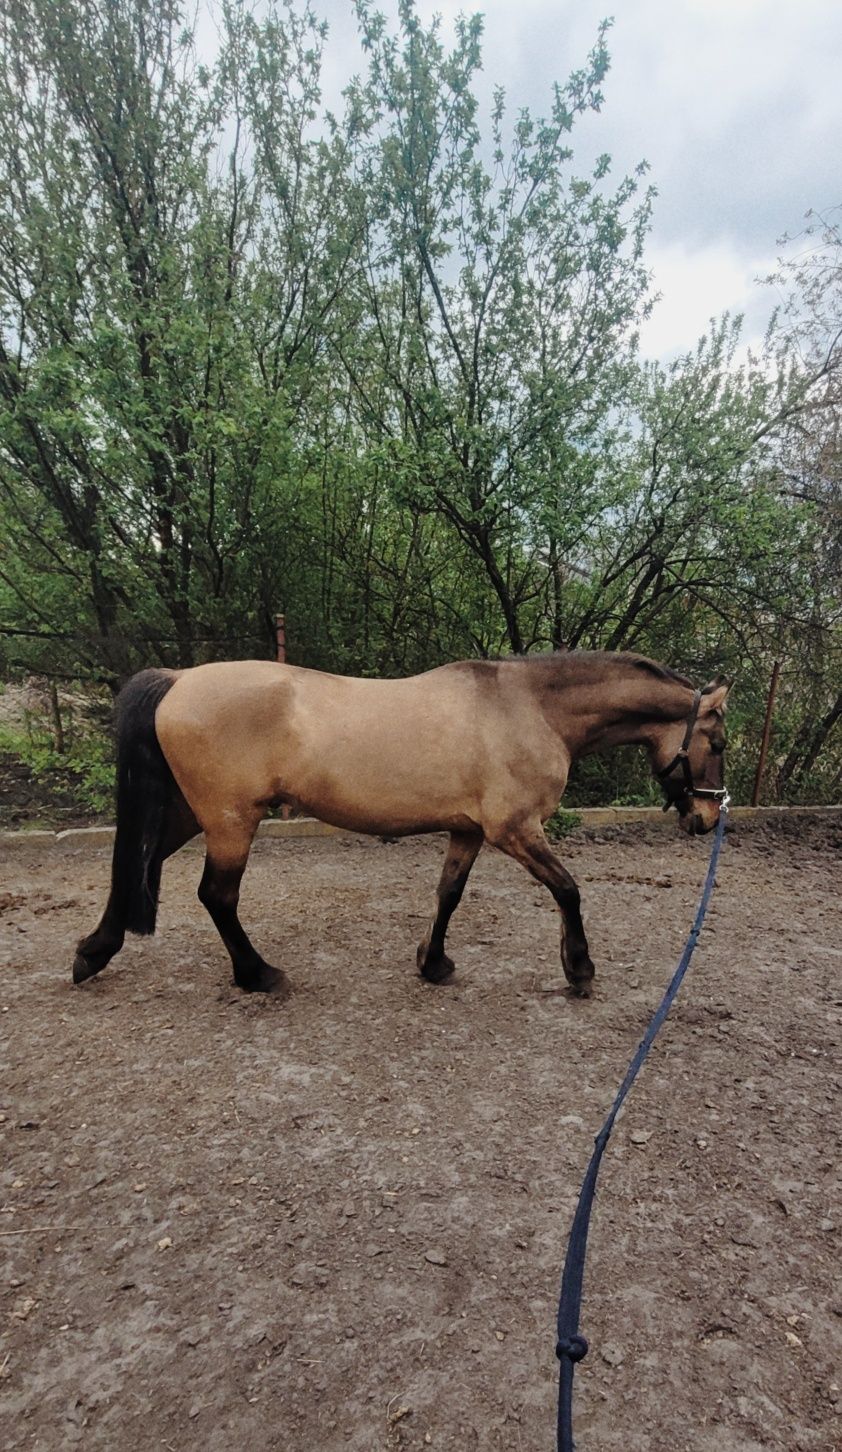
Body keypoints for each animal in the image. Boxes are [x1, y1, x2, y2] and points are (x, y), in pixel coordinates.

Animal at [72, 656, 725, 998]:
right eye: (717, 743)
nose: (708, 817)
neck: (530, 709)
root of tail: (181, 678)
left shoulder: (469, 832)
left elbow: (448, 894)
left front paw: (432, 963)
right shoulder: (515, 830)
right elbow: (567, 890)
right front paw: (579, 969)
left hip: (193, 814)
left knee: (140, 866)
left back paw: (93, 953)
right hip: (232, 822)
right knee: (216, 896)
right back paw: (258, 974)